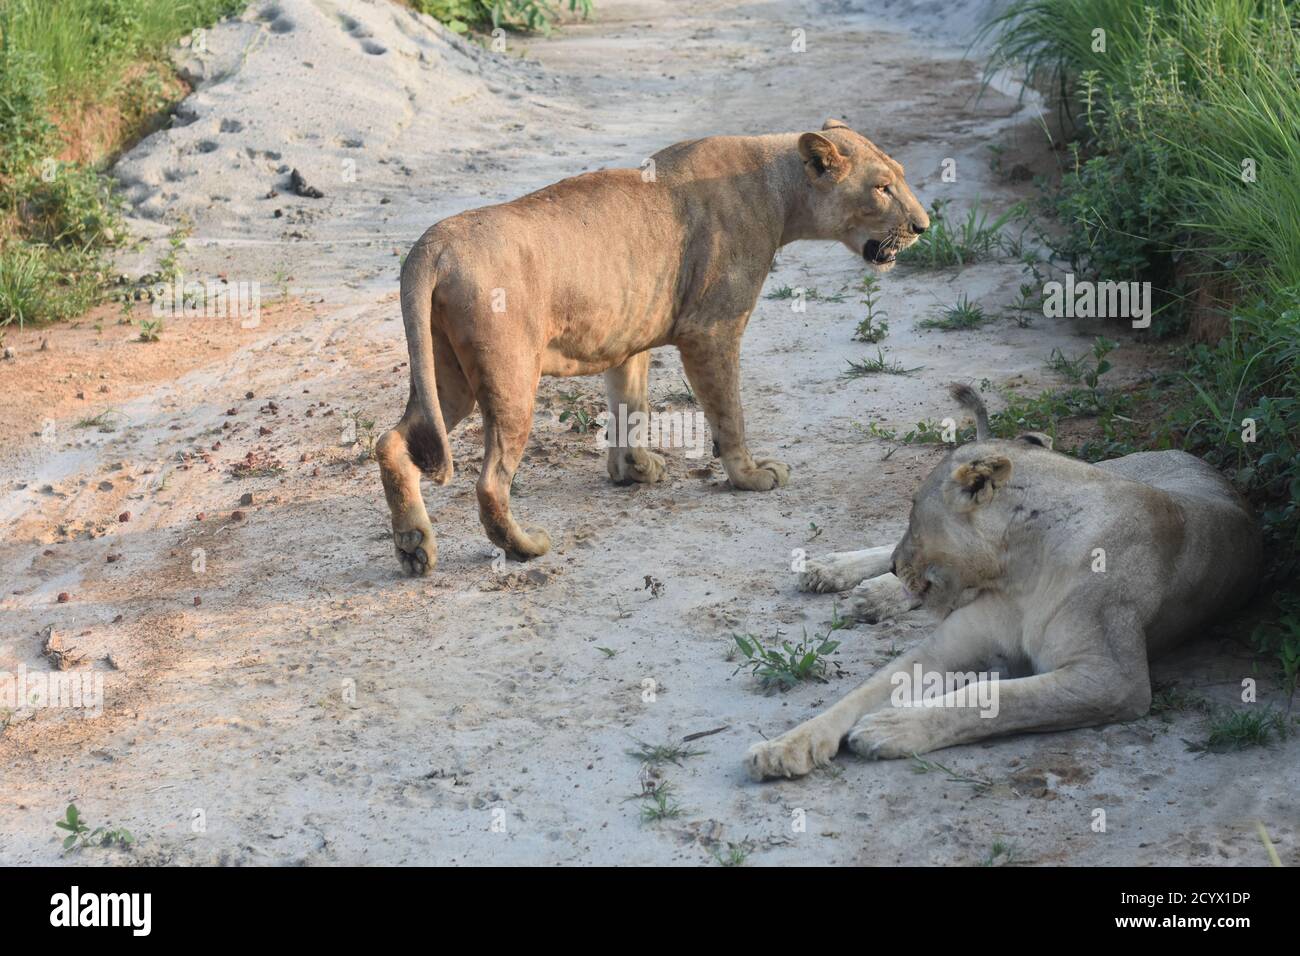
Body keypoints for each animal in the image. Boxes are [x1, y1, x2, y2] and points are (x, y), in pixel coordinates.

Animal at [376, 120, 929, 574]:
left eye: (900, 176)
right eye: (881, 187)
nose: (923, 226)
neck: (780, 191)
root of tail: (434, 244)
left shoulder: (630, 338)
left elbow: (631, 405)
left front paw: (633, 470)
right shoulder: (711, 330)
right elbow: (728, 413)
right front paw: (749, 475)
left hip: (448, 374)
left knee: (391, 442)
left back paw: (414, 546)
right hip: (510, 377)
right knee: (491, 481)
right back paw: (524, 546)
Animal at [746, 384, 1262, 779]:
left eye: (915, 512)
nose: (895, 565)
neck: (1019, 569)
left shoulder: (1113, 680)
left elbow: (996, 698)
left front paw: (888, 728)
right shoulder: (946, 646)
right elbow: (857, 694)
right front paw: (784, 746)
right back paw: (840, 575)